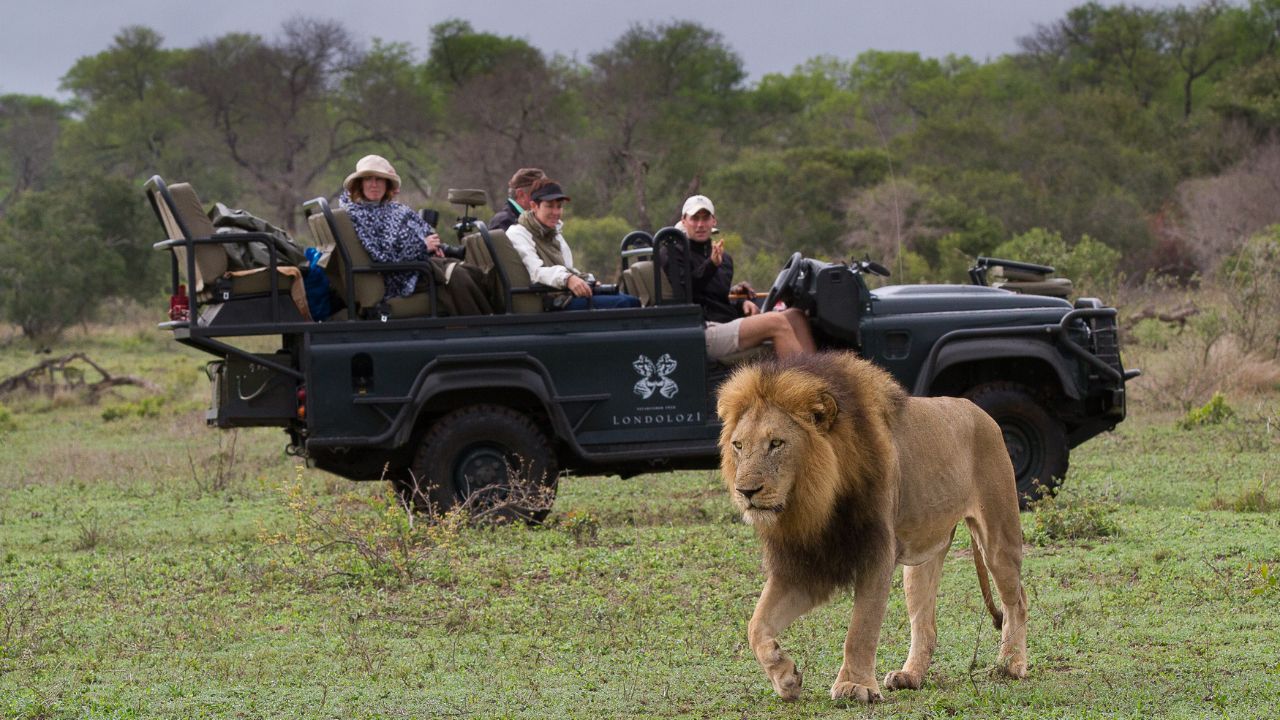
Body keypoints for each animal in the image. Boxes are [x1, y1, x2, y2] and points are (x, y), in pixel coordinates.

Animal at [717, 351, 1028, 703]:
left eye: (776, 443)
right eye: (738, 445)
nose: (745, 491)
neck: (816, 502)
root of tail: (980, 411)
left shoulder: (876, 552)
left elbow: (861, 627)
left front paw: (855, 686)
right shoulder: (806, 565)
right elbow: (755, 625)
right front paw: (784, 675)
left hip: (998, 537)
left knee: (1017, 600)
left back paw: (1011, 664)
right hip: (922, 558)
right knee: (926, 624)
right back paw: (910, 676)